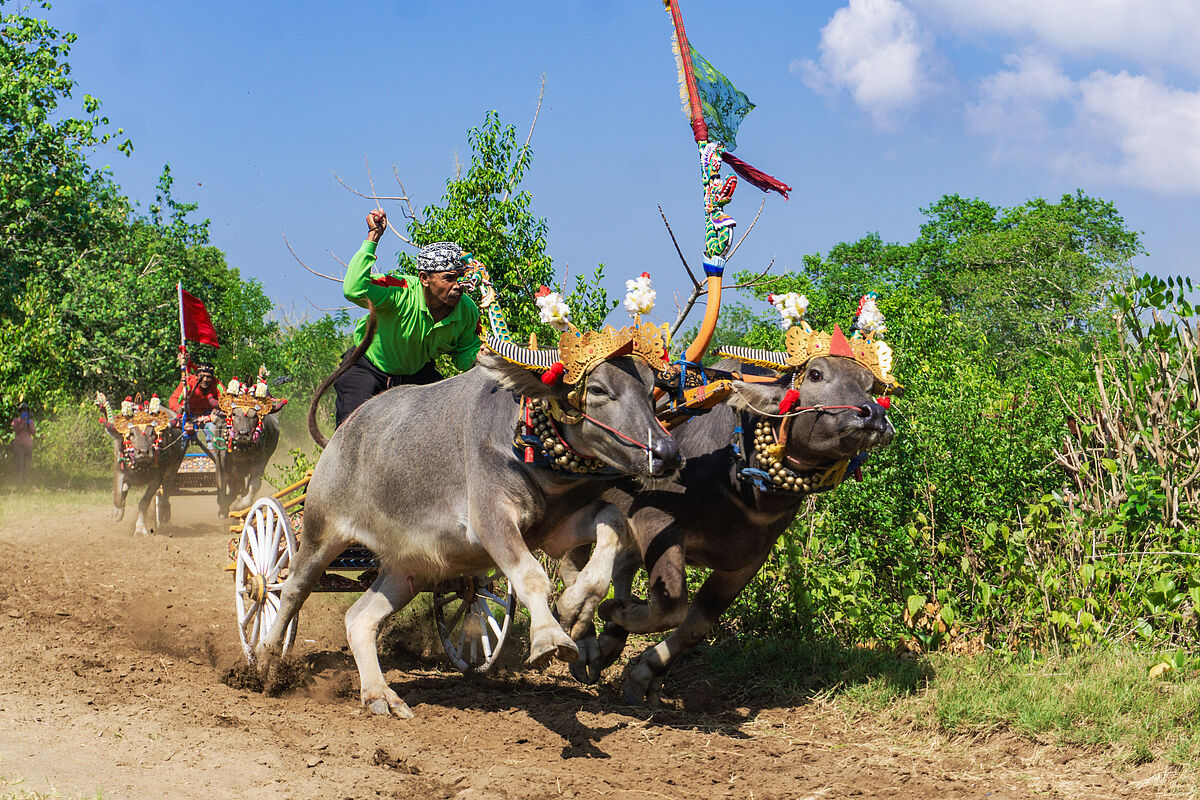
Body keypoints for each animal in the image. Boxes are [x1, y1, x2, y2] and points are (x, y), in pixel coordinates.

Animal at [255, 316, 700, 719]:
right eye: (597, 389)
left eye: (650, 388)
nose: (665, 453)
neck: (525, 440)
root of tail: (340, 436)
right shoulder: (491, 520)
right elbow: (530, 576)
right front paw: (549, 639)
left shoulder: (554, 528)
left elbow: (612, 526)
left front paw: (576, 607)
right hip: (320, 533)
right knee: (289, 590)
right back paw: (264, 661)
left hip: (407, 568)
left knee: (359, 618)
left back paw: (380, 695)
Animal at [573, 347, 902, 705]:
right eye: (816, 374)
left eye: (869, 386)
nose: (872, 415)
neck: (738, 478)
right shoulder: (655, 519)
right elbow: (671, 605)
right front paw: (615, 612)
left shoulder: (748, 560)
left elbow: (695, 625)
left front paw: (643, 671)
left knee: (621, 567)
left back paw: (608, 640)